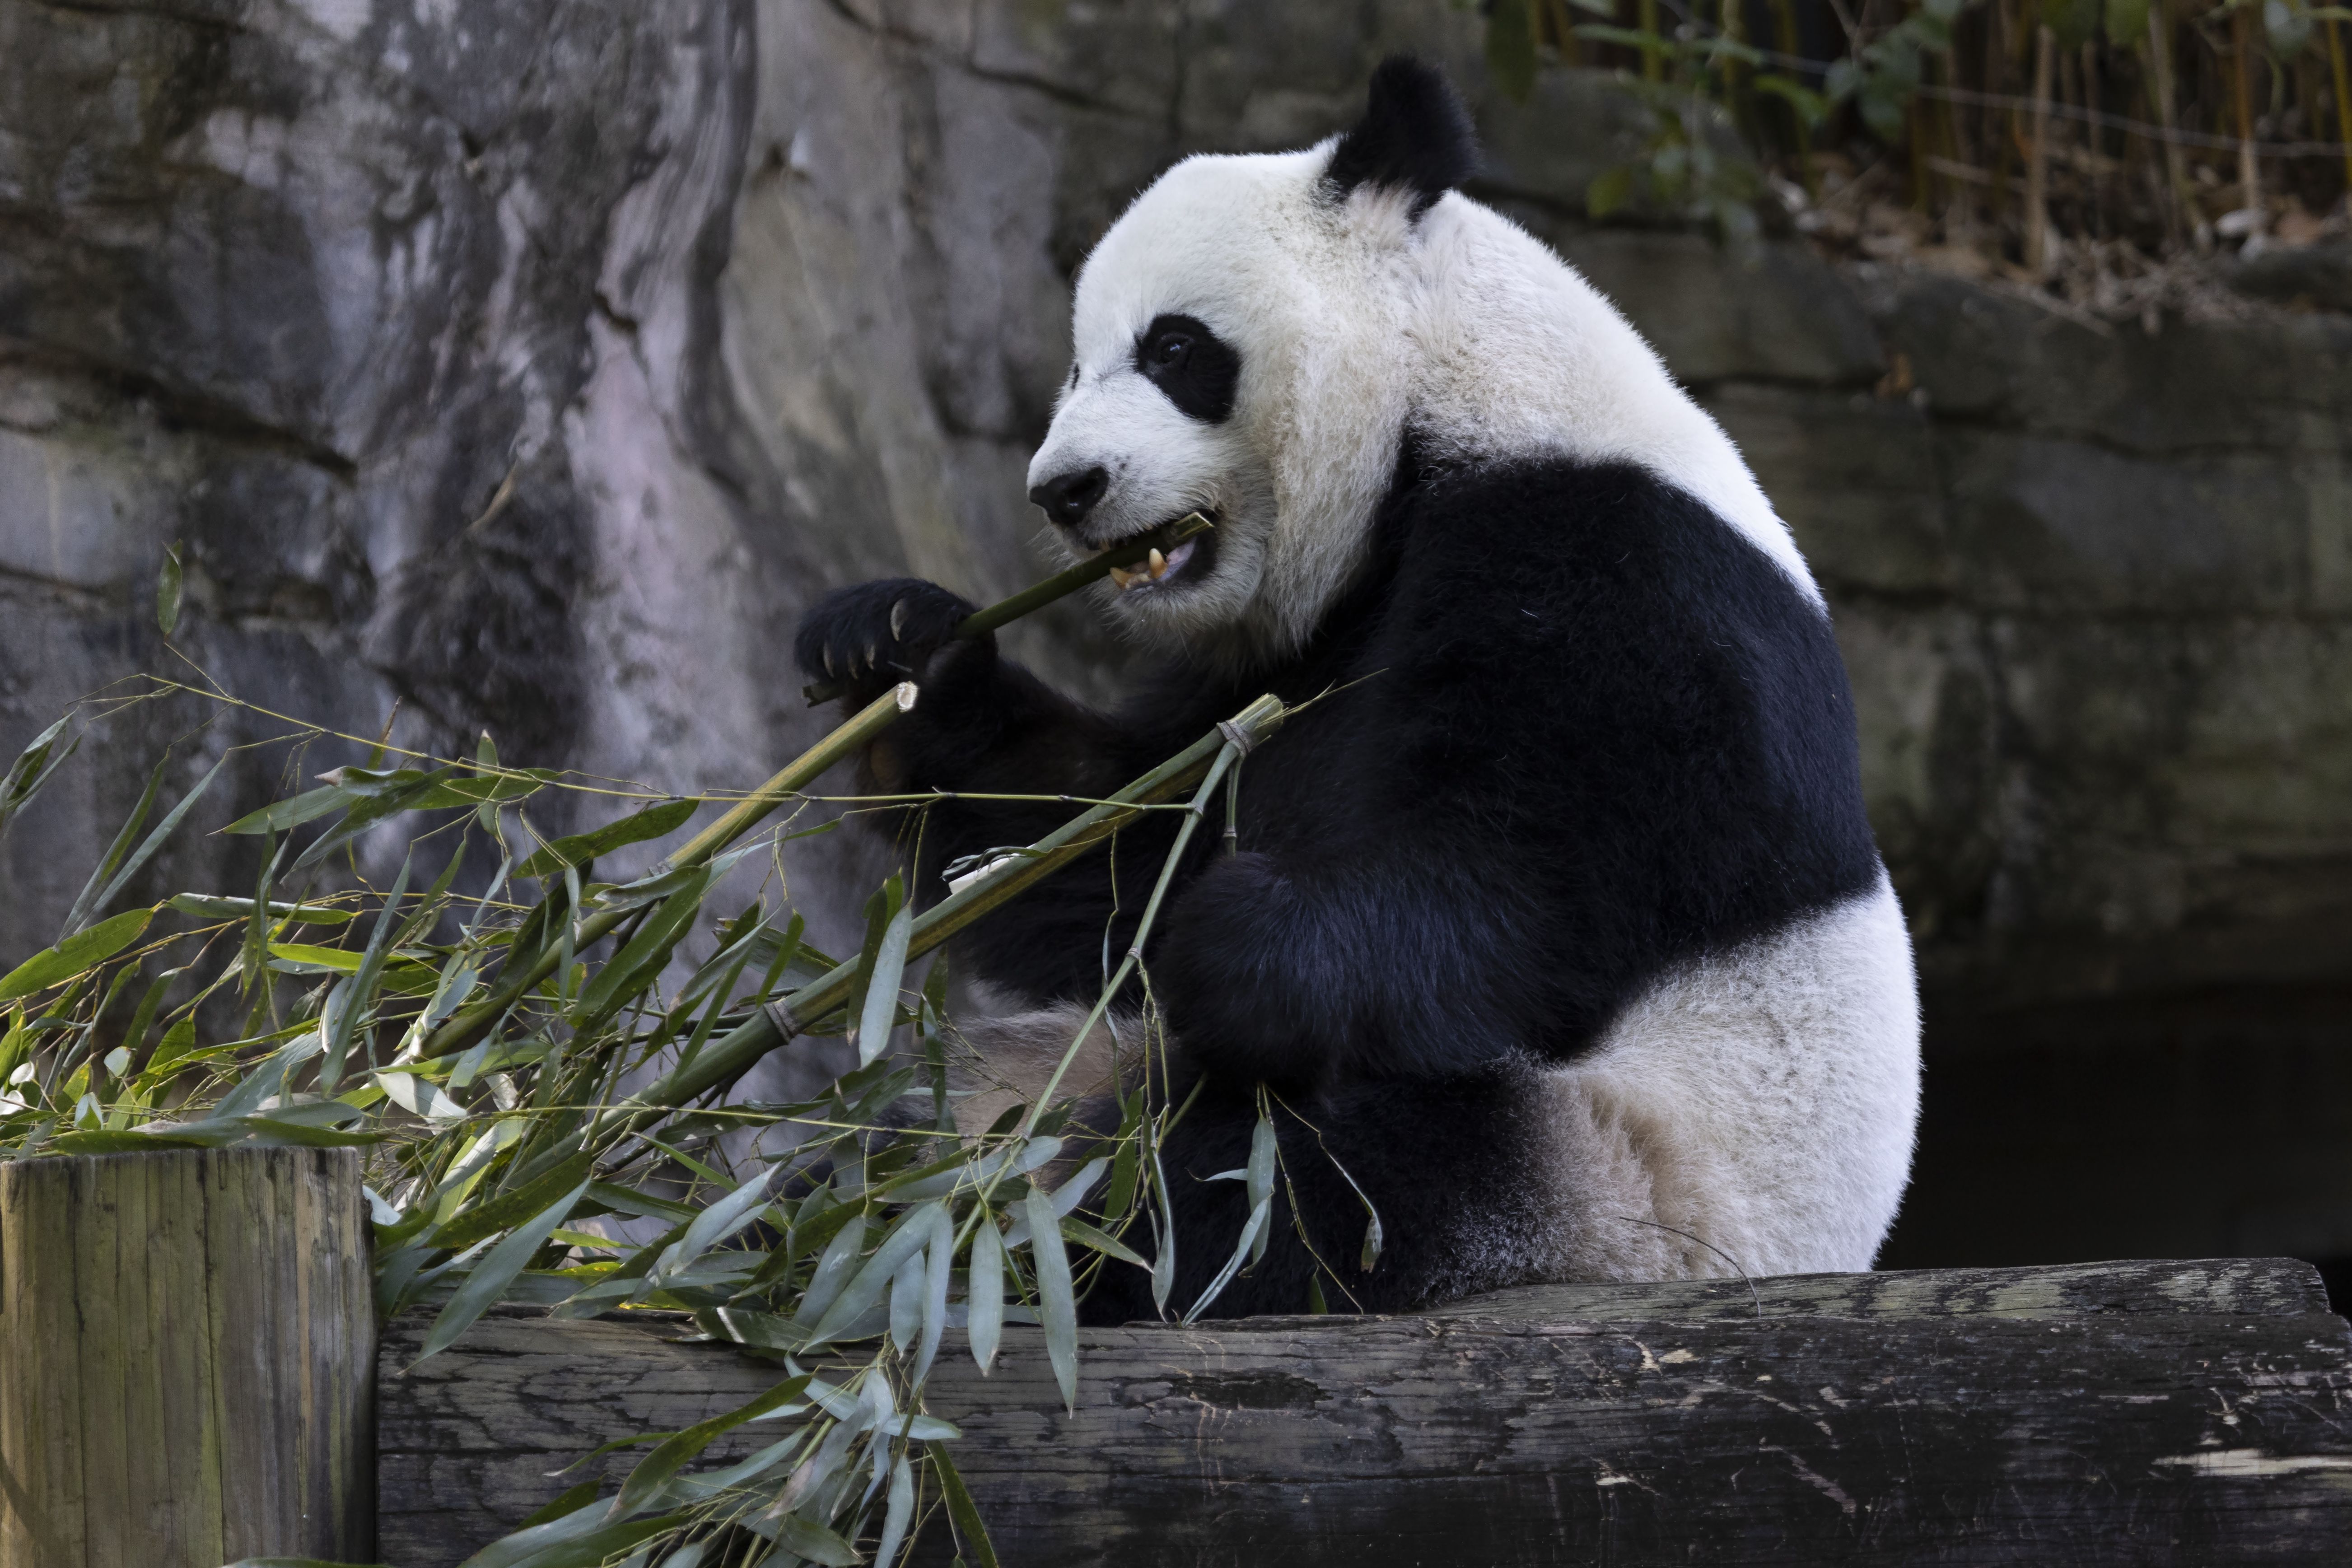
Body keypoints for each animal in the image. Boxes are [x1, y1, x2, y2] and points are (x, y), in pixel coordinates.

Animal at [794, 56, 1919, 1322]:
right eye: (1079, 366)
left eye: (1174, 349)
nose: (1066, 489)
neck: (1462, 404)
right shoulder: (1290, 656)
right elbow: (1114, 850)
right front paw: (894, 652)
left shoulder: (1636, 585)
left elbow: (1546, 887)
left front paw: (1238, 943)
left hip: (1621, 1179)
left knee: (1281, 1185)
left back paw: (1008, 1238)